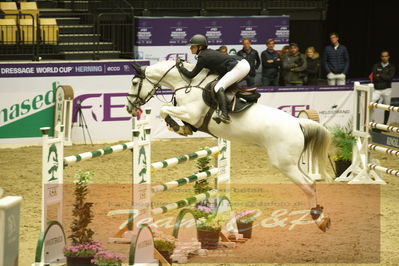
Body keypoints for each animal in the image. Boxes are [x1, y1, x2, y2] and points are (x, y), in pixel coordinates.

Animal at [127, 59, 332, 231]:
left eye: (135, 83)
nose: (129, 108)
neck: (188, 85)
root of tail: (298, 123)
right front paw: (182, 128)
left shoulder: (191, 113)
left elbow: (164, 110)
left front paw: (176, 126)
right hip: (292, 162)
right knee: (311, 182)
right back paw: (321, 216)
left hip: (284, 164)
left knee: (307, 185)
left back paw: (318, 219)